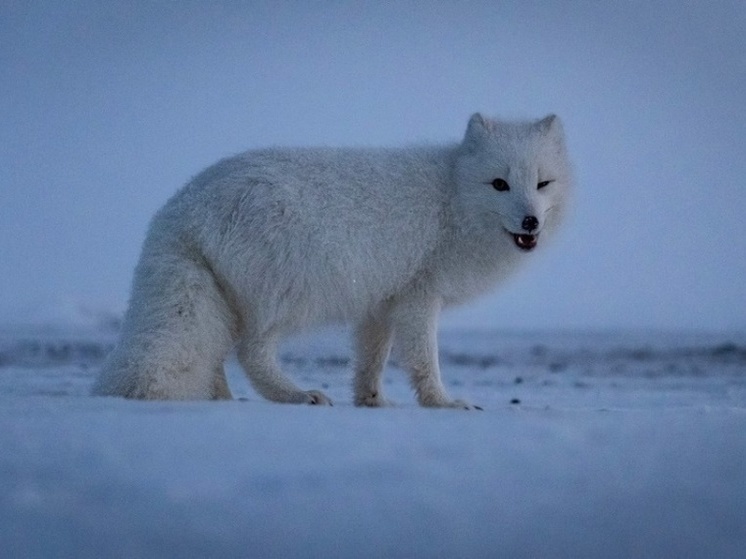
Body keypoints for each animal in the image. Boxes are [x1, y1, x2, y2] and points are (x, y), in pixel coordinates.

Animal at [93, 115, 568, 412]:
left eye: (542, 183)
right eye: (500, 184)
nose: (530, 221)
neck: (452, 198)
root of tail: (183, 207)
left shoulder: (382, 303)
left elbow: (371, 360)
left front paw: (372, 402)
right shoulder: (420, 297)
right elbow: (423, 361)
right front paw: (444, 403)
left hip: (229, 301)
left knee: (217, 353)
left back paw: (222, 401)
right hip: (293, 290)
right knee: (249, 351)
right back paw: (297, 395)